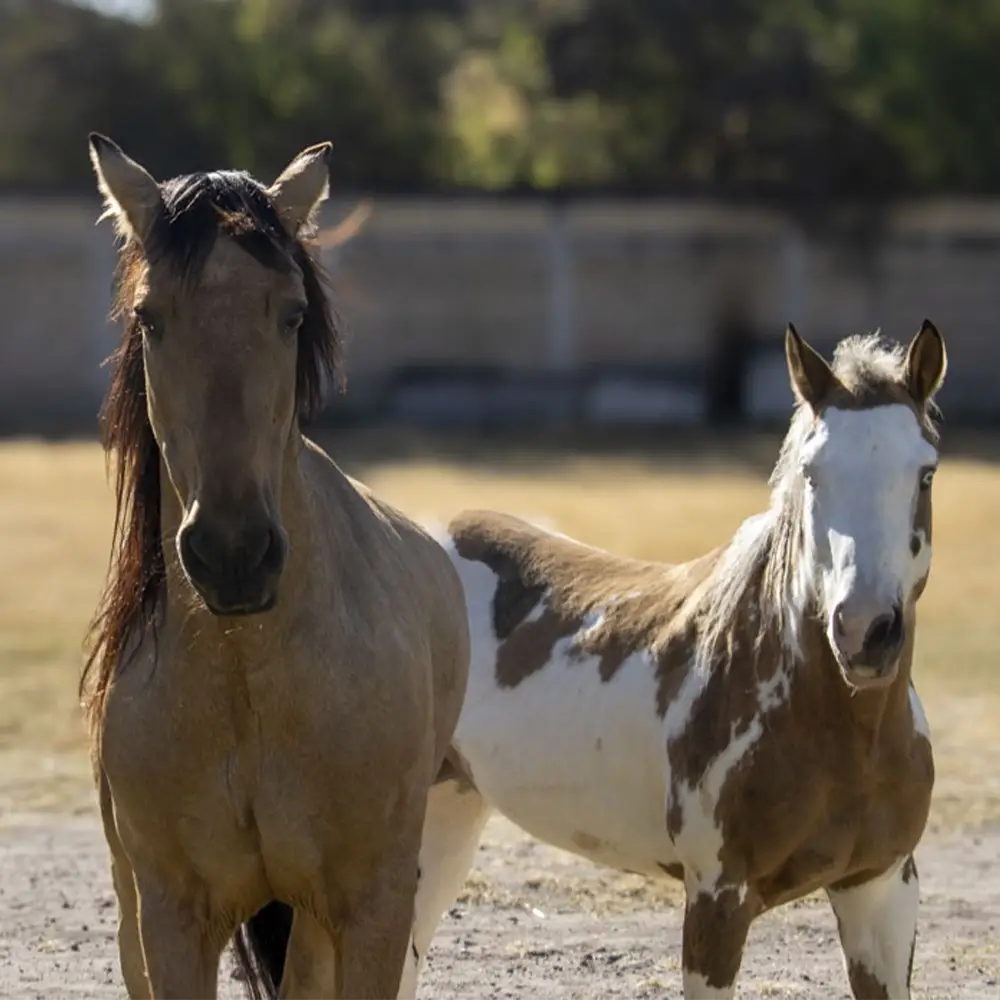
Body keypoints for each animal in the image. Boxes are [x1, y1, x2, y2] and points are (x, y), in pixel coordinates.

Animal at [82, 134, 469, 1000]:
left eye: (292, 314)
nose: (233, 553)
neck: (247, 683)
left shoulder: (369, 909)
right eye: (150, 316)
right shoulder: (172, 916)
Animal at [242, 321, 947, 999]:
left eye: (926, 472)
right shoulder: (718, 898)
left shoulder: (880, 891)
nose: (864, 631)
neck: (834, 727)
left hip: (441, 815)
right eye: (812, 472)